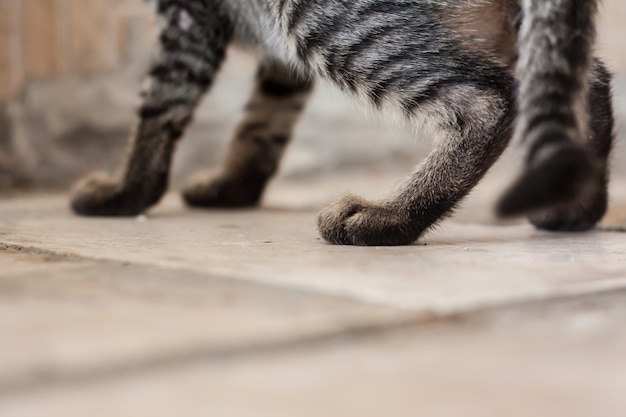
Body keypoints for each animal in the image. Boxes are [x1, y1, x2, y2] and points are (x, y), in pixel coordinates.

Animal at [70, 0, 612, 245]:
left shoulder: (187, 13)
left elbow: (161, 100)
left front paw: (128, 190)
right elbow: (265, 113)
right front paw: (236, 183)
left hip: (331, 16)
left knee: (490, 101)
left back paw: (391, 216)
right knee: (582, 75)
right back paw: (575, 206)